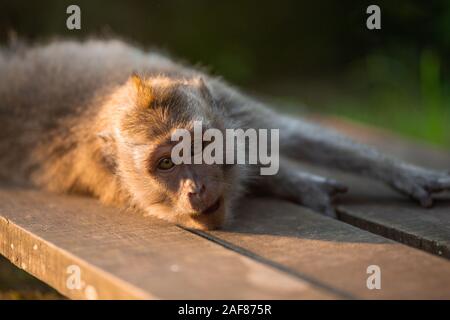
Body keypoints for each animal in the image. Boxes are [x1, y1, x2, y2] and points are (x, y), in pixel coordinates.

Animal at [0, 39, 450, 230]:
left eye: (203, 146)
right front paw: (294, 183)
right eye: (167, 163)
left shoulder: (232, 109)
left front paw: (404, 173)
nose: (196, 187)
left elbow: (292, 134)